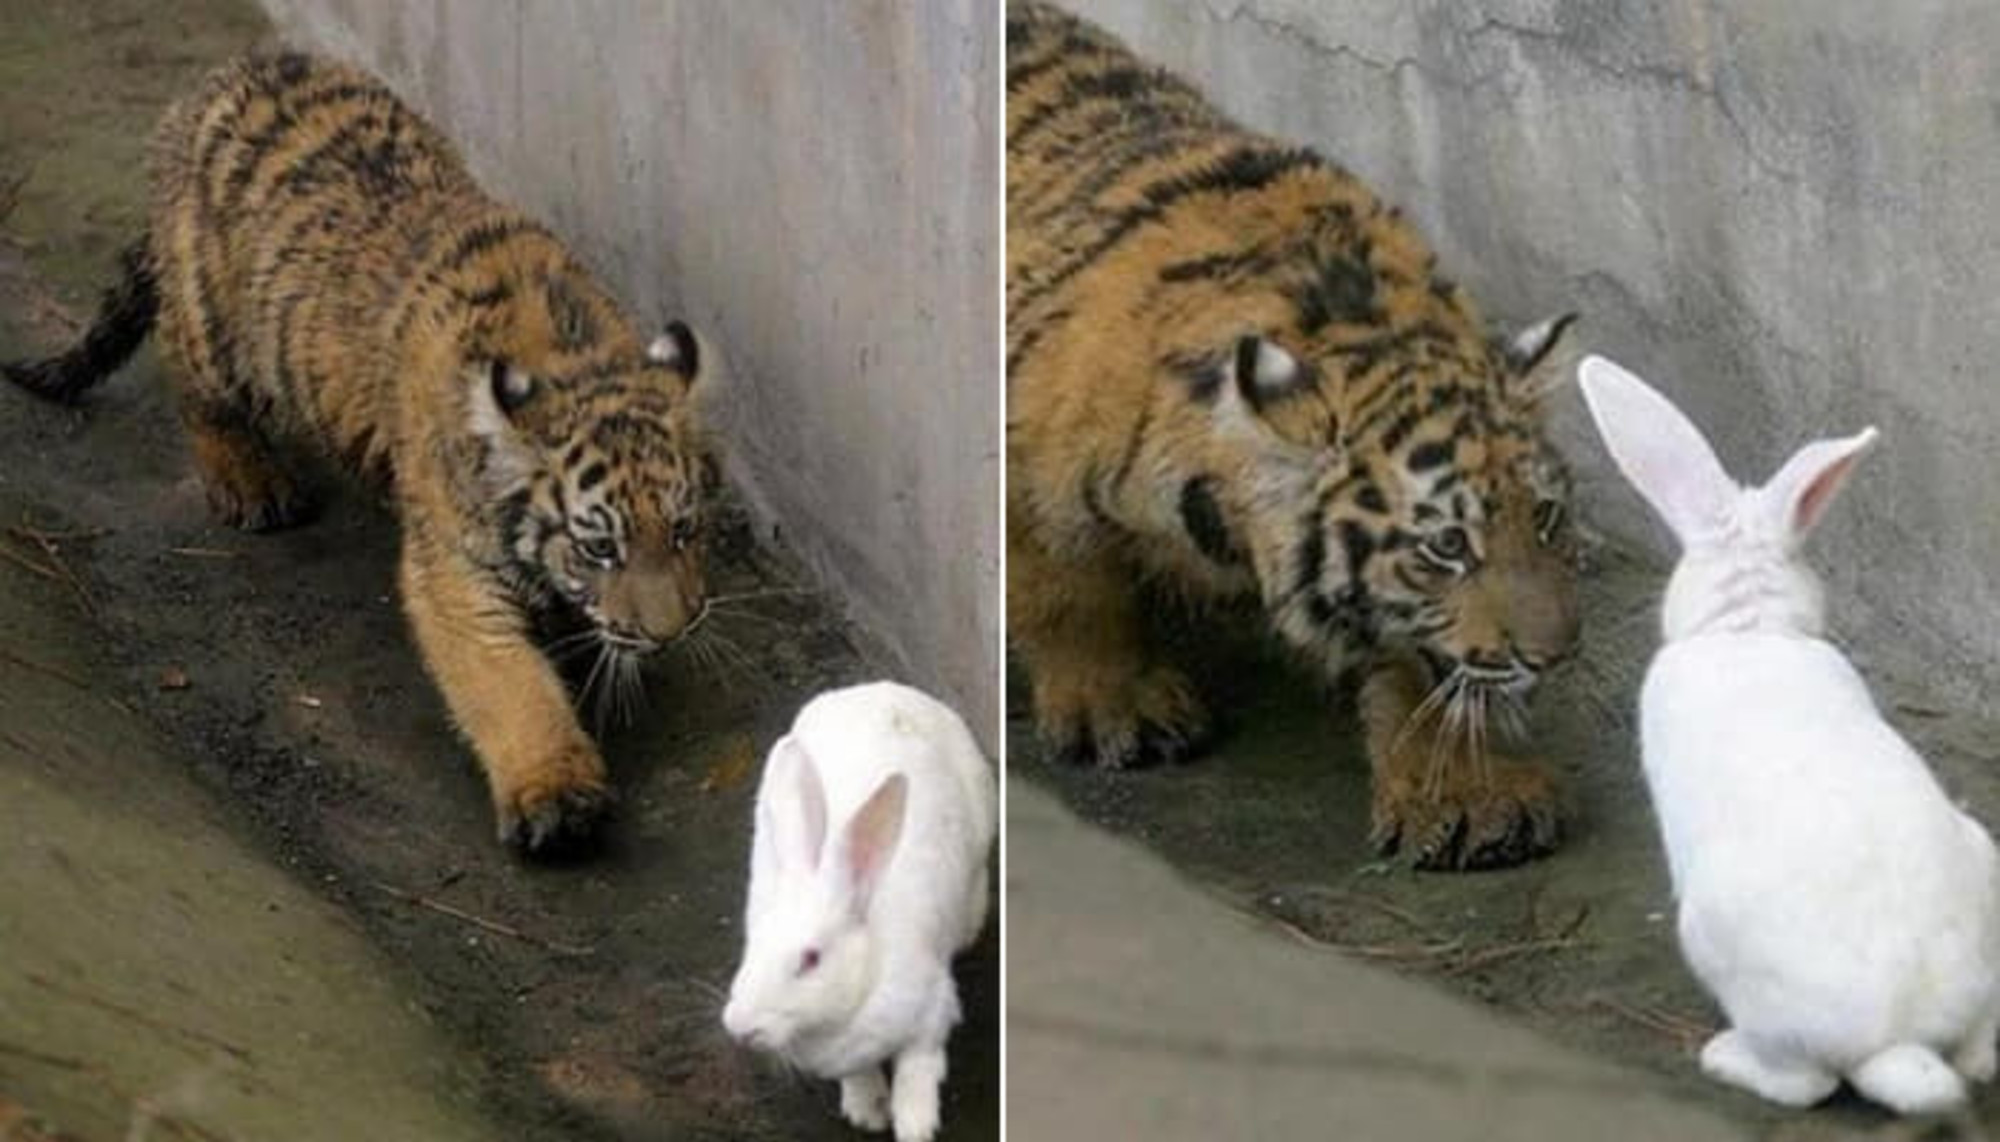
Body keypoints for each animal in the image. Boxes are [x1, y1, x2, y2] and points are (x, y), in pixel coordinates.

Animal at [724, 684, 996, 1136]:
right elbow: (858, 1074)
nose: (739, 1027)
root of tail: (884, 689)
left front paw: (915, 1126)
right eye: (753, 945)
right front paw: (867, 1109)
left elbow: (918, 1070)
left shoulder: (931, 1011)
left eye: (811, 959)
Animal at [1576, 356, 2000, 1120]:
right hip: (1985, 862)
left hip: (1715, 940)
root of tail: (1903, 1035)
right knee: (1981, 1056)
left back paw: (1723, 1057)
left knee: (1807, 1083)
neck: (1748, 625)